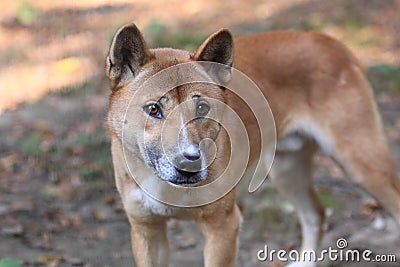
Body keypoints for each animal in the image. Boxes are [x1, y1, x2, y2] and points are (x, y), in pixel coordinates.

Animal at [104, 21, 400, 267]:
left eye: (202, 108)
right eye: (153, 109)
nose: (190, 165)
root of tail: (329, 40)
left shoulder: (223, 227)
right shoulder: (147, 231)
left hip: (362, 166)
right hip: (286, 172)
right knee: (315, 214)